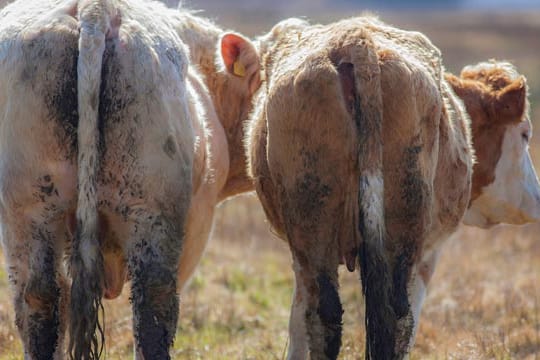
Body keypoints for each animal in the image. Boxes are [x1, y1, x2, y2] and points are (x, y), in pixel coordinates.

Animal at [225, 15, 540, 358]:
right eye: (525, 133)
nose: (536, 198)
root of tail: (356, 42)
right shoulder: (429, 253)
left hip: (315, 226)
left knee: (328, 314)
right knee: (391, 318)